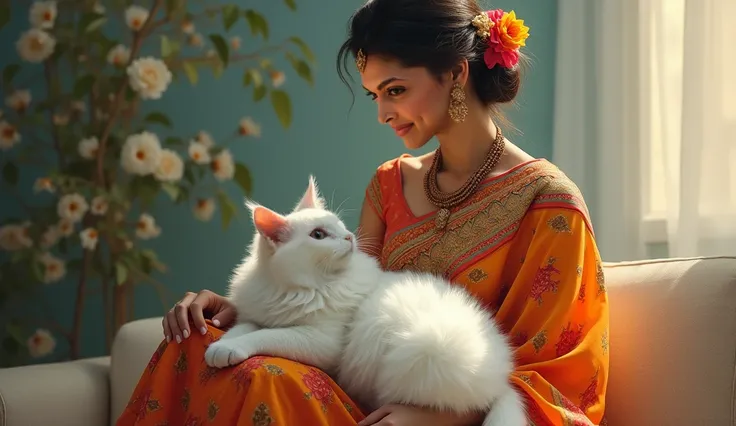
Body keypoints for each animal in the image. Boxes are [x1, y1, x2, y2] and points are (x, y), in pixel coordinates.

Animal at [204, 176, 528, 426]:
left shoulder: (321, 340)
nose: (349, 237)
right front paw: (221, 346)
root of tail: (504, 378)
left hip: (426, 346)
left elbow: (267, 335)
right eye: (318, 235)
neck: (297, 287)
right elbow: (244, 328)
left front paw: (229, 349)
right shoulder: (255, 314)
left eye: (338, 225)